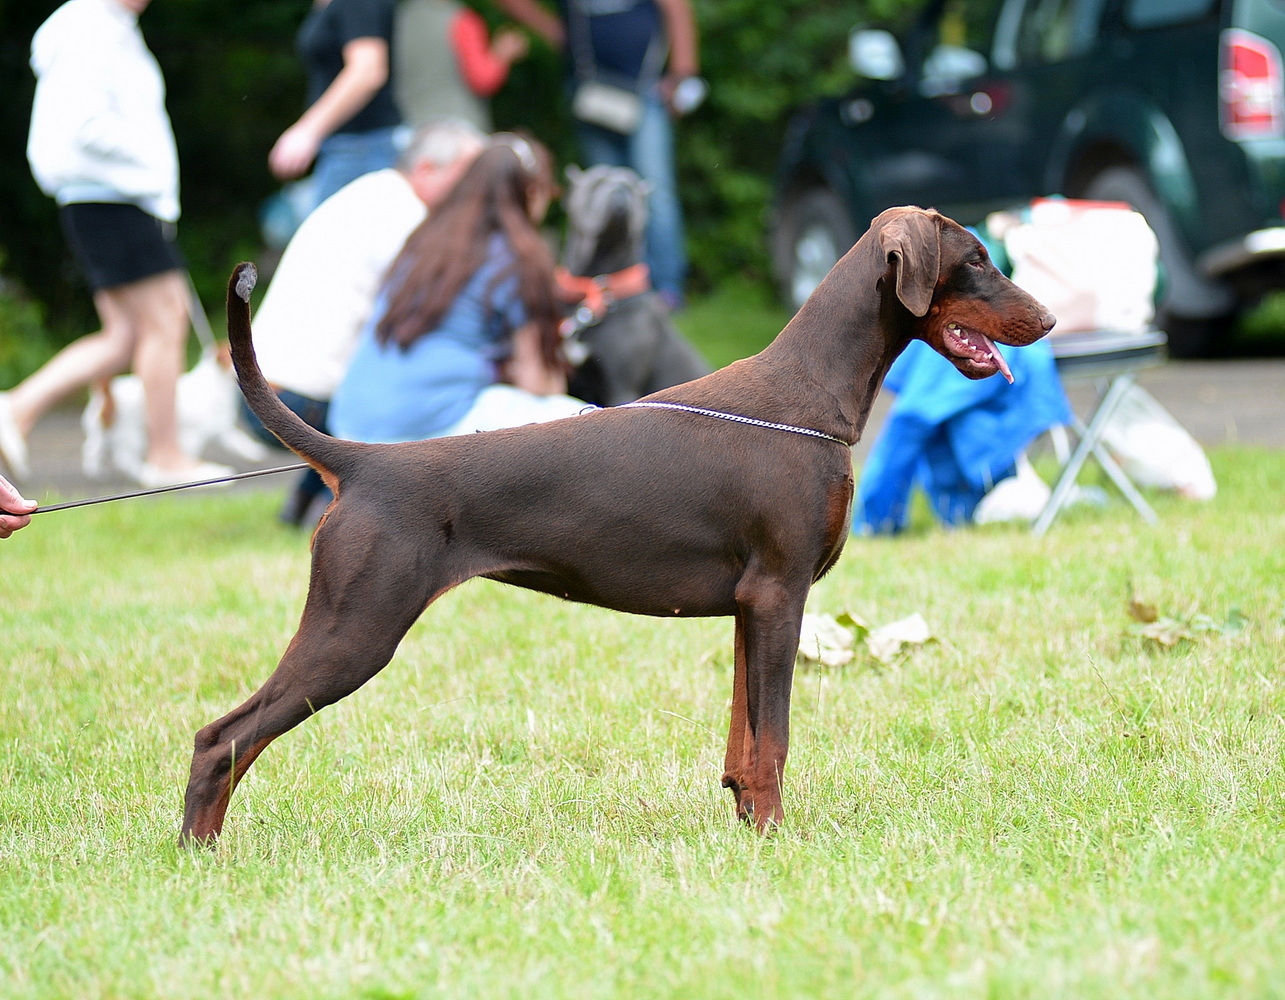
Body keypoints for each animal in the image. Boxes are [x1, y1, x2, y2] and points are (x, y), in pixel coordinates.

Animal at [81, 344, 269, 481]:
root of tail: (107, 394)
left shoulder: (220, 429)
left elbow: (239, 440)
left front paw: (253, 452)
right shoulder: (193, 436)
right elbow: (194, 451)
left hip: (104, 431)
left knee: (92, 448)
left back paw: (95, 470)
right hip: (131, 433)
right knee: (124, 458)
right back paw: (146, 474)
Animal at [180, 207, 1055, 845]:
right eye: (977, 257)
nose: (1048, 320)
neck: (810, 393)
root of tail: (360, 462)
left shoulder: (750, 606)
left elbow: (744, 737)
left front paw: (747, 823)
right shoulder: (780, 594)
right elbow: (773, 735)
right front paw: (777, 837)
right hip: (355, 628)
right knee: (223, 736)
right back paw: (198, 852)